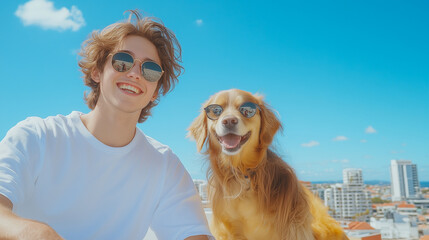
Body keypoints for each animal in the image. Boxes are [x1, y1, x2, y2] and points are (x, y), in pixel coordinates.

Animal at [188, 89, 348, 239]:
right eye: (216, 110)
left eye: (247, 110)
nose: (229, 121)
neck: (244, 174)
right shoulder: (228, 230)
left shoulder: (292, 227)